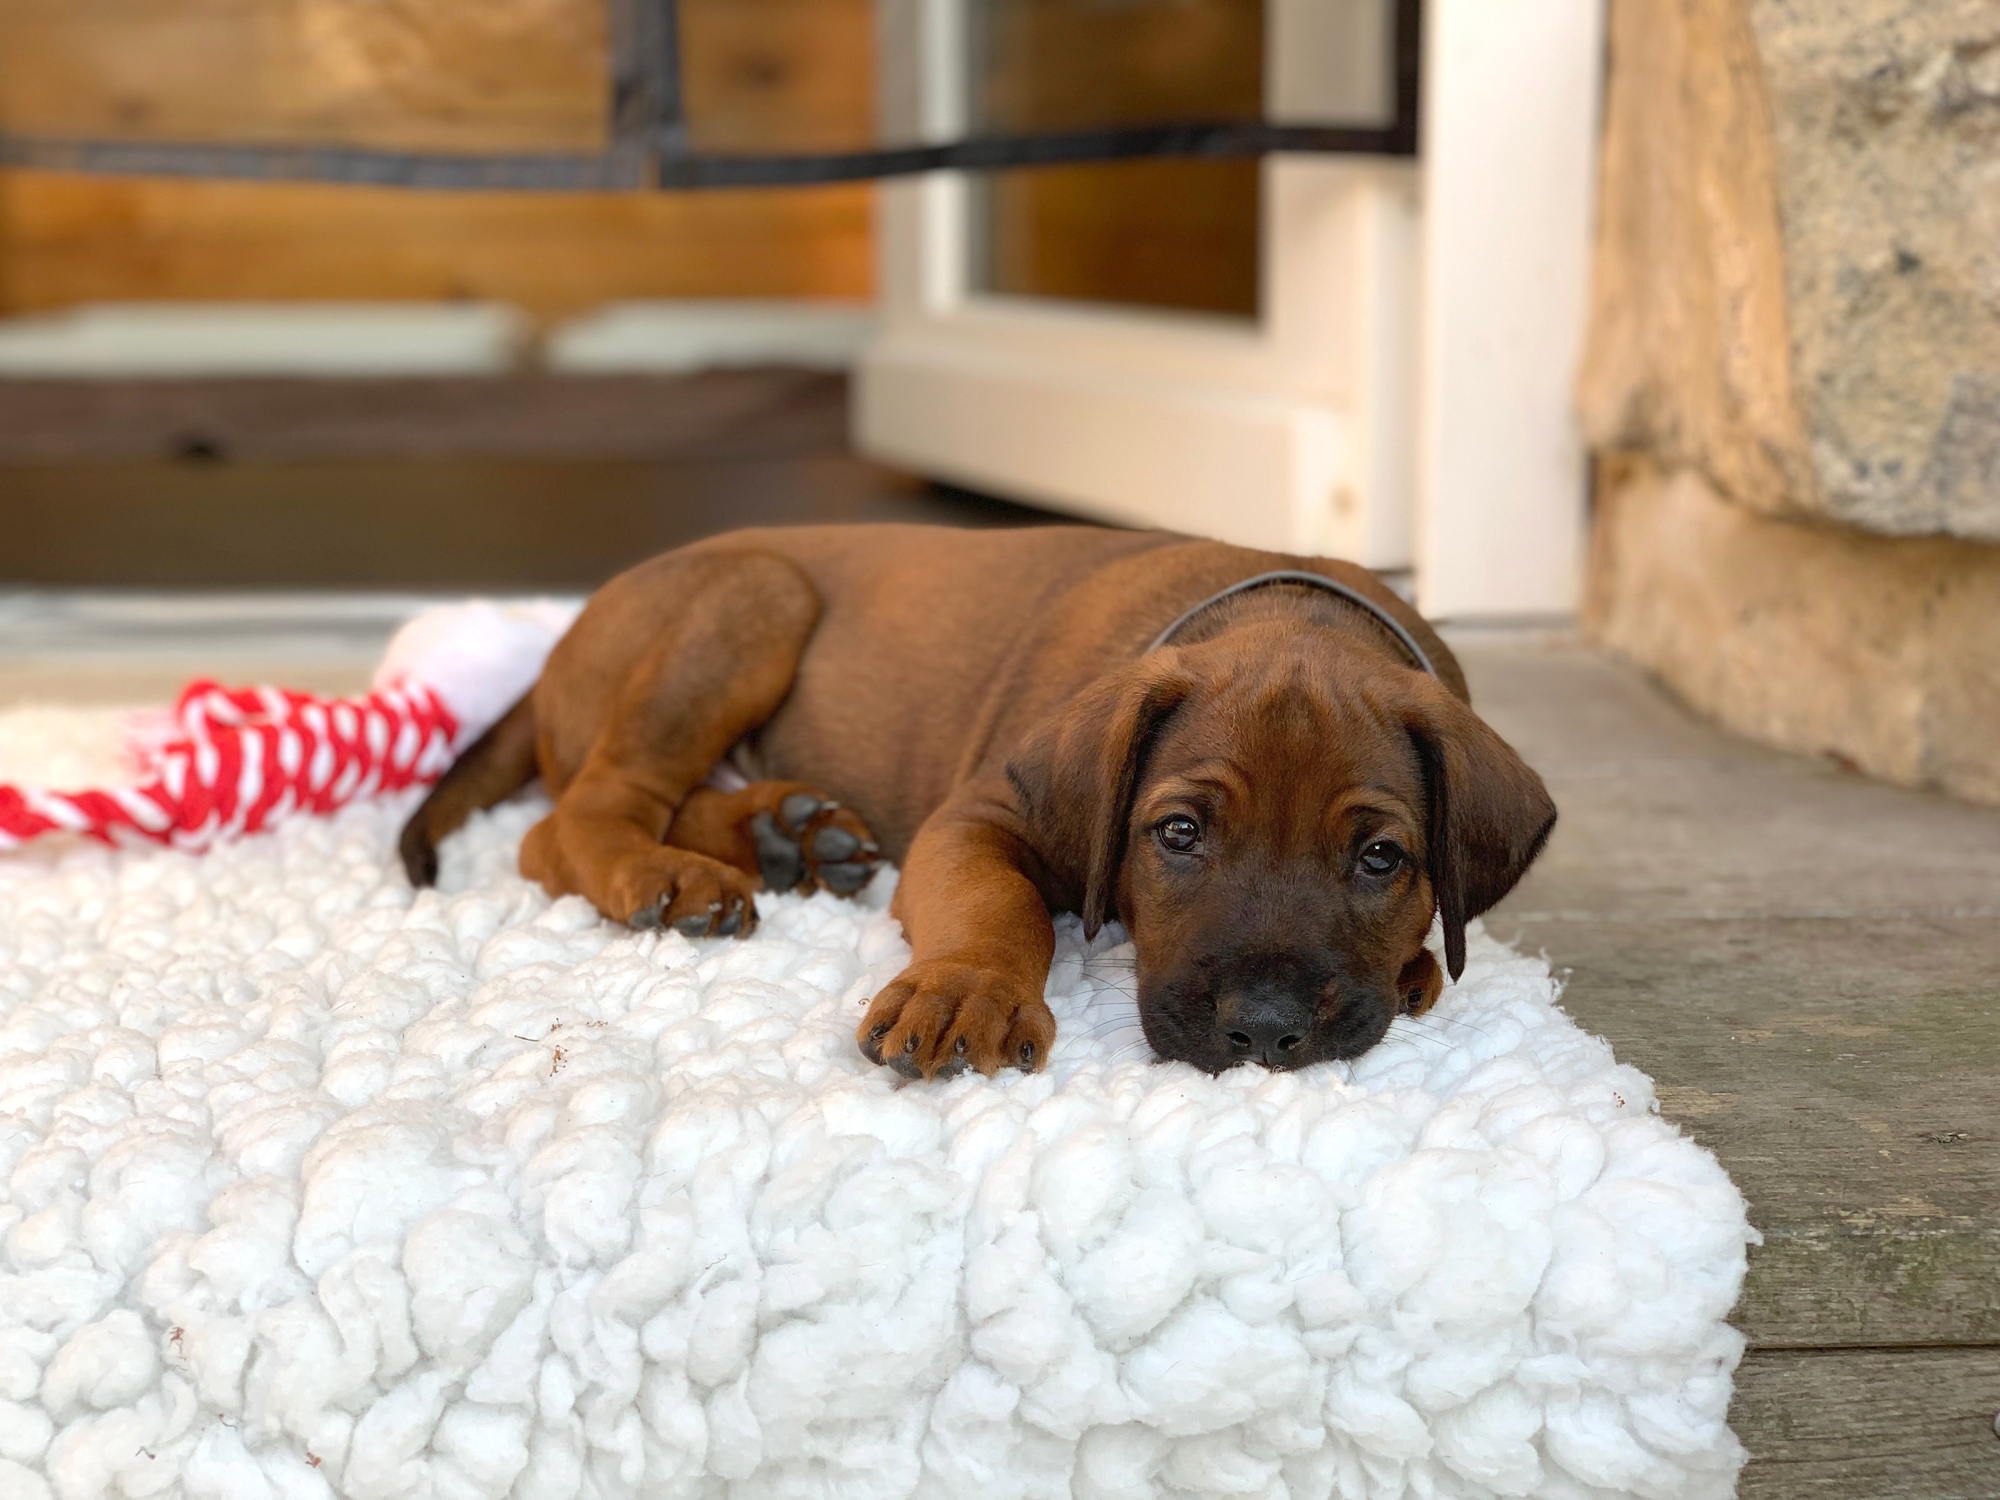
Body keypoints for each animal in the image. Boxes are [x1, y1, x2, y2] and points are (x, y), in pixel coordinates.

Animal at [400, 524, 1554, 1081]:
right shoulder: (981, 816)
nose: (1264, 1033)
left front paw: (1413, 964)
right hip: (753, 592)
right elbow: (998, 908)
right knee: (568, 819)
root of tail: (558, 643)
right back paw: (671, 872)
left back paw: (783, 833)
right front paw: (968, 994)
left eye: (1380, 859)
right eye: (1177, 834)